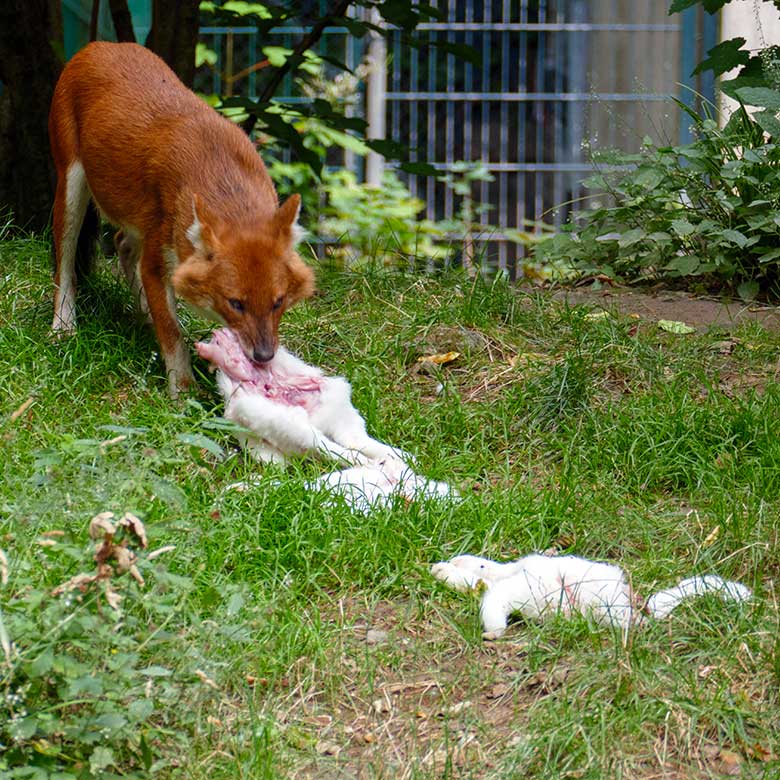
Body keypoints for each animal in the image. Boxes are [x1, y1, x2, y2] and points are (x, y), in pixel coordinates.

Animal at [48, 42, 314, 396]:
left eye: (278, 302)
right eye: (235, 303)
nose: (263, 356)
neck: (222, 178)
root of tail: (97, 46)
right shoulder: (157, 259)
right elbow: (173, 334)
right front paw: (183, 393)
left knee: (122, 243)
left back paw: (144, 314)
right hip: (71, 183)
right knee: (65, 263)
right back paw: (63, 326)